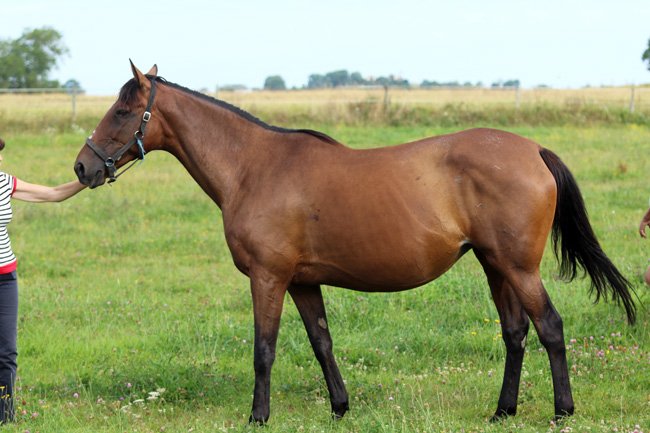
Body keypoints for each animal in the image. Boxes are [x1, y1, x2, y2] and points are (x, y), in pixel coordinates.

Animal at [74, 62, 636, 424]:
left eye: (122, 111)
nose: (82, 167)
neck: (254, 167)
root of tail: (534, 150)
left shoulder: (269, 277)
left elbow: (263, 349)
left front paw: (258, 415)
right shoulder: (302, 282)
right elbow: (321, 342)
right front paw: (340, 407)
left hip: (519, 267)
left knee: (550, 328)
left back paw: (562, 411)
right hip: (494, 264)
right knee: (515, 333)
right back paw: (503, 410)